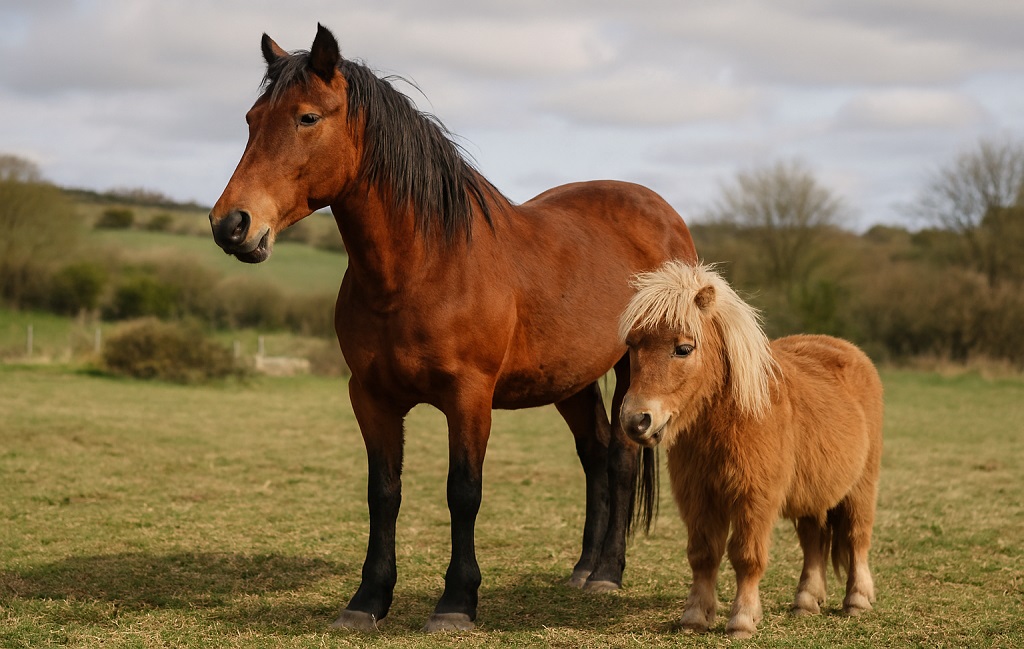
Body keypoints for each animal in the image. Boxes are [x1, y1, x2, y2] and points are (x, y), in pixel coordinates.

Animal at [208, 24, 697, 632]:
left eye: (307, 118)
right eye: (252, 119)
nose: (231, 224)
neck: (423, 267)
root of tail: (663, 214)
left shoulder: (469, 397)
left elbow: (463, 492)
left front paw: (456, 602)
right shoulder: (371, 398)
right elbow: (383, 493)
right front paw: (368, 600)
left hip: (637, 367)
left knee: (623, 458)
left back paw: (607, 574)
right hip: (572, 380)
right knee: (595, 453)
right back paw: (584, 569)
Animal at [617, 261, 883, 639]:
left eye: (683, 348)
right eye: (632, 345)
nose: (636, 421)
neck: (730, 419)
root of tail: (850, 352)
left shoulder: (754, 498)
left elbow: (746, 556)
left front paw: (742, 619)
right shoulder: (698, 496)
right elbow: (702, 554)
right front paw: (695, 616)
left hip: (861, 487)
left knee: (857, 537)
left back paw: (857, 601)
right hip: (811, 497)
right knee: (813, 542)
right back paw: (806, 602)